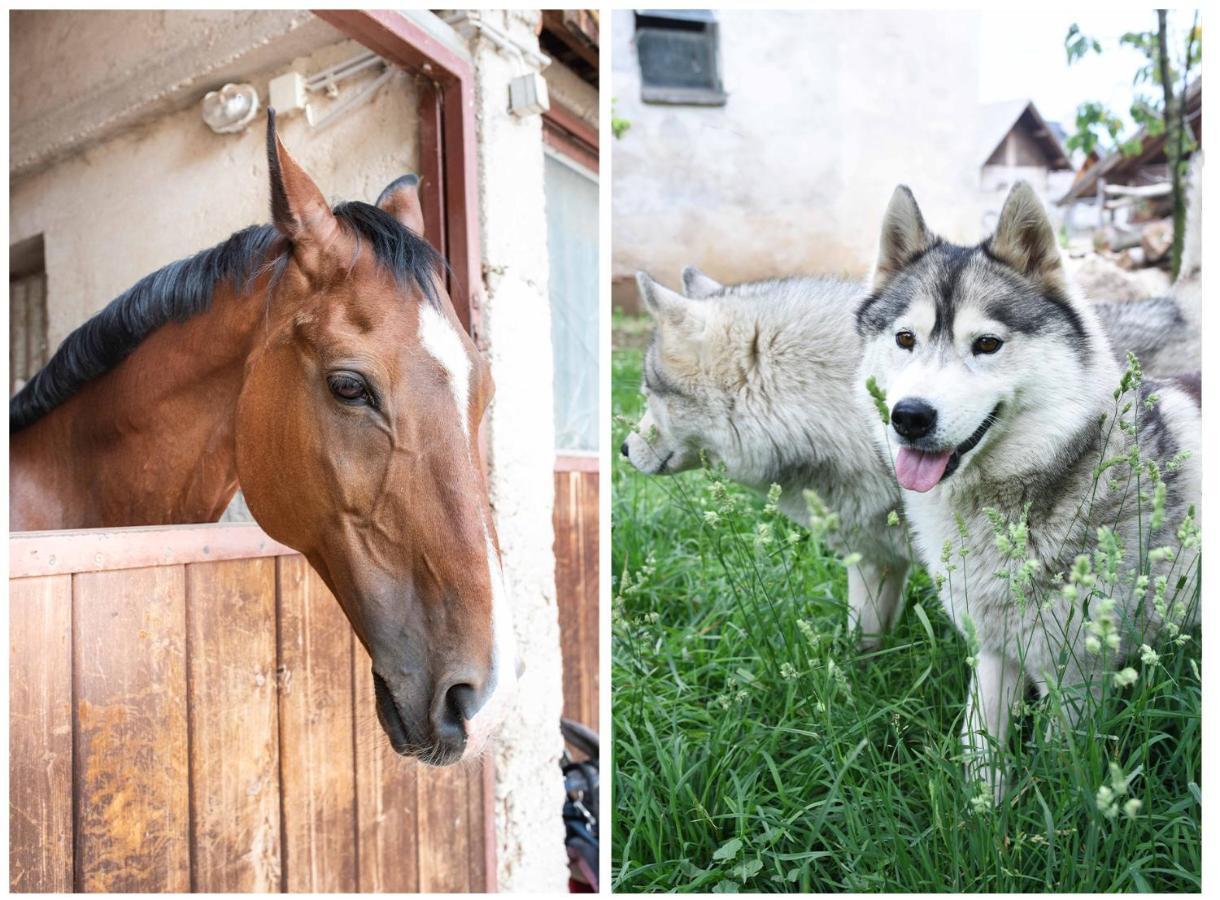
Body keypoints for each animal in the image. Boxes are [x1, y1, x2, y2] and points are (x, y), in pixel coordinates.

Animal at [858, 182, 1200, 790]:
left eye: (987, 344)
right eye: (905, 338)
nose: (910, 416)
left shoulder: (1078, 675)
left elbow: (1059, 770)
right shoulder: (995, 651)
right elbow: (981, 755)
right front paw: (985, 812)